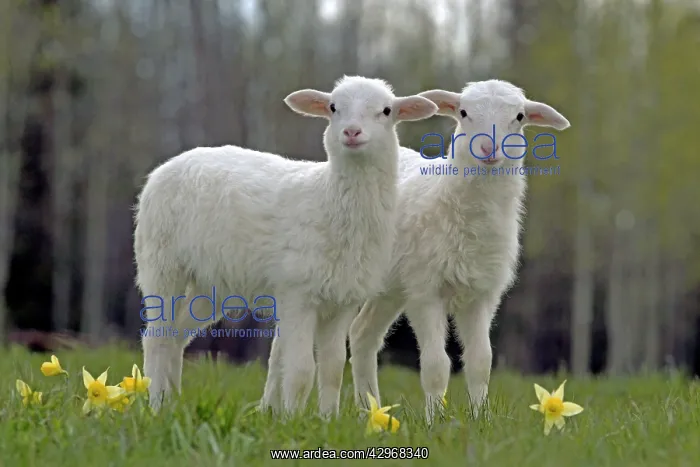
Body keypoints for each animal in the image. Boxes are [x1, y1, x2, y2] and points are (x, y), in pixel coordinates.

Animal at [133, 75, 438, 414]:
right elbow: (302, 370)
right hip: (161, 262)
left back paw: (172, 401)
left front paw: (327, 419)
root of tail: (168, 165)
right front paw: (293, 418)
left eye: (386, 111)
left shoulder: (342, 299)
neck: (327, 198)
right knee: (157, 336)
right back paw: (156, 406)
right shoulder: (297, 294)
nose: (351, 132)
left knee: (177, 335)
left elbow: (332, 367)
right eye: (333, 107)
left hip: (210, 283)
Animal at [348, 79, 570, 423]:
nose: (488, 148)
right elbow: (436, 365)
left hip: (391, 288)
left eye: (519, 116)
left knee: (361, 335)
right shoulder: (425, 291)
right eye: (463, 112)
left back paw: (368, 412)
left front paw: (481, 419)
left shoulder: (482, 294)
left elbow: (481, 361)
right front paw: (435, 422)